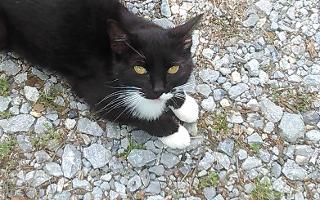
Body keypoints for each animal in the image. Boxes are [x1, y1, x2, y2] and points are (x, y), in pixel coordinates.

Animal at [0, 0, 201, 148]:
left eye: (173, 69)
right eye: (140, 69)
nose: (159, 90)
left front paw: (184, 104)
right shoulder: (95, 88)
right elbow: (132, 111)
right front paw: (175, 132)